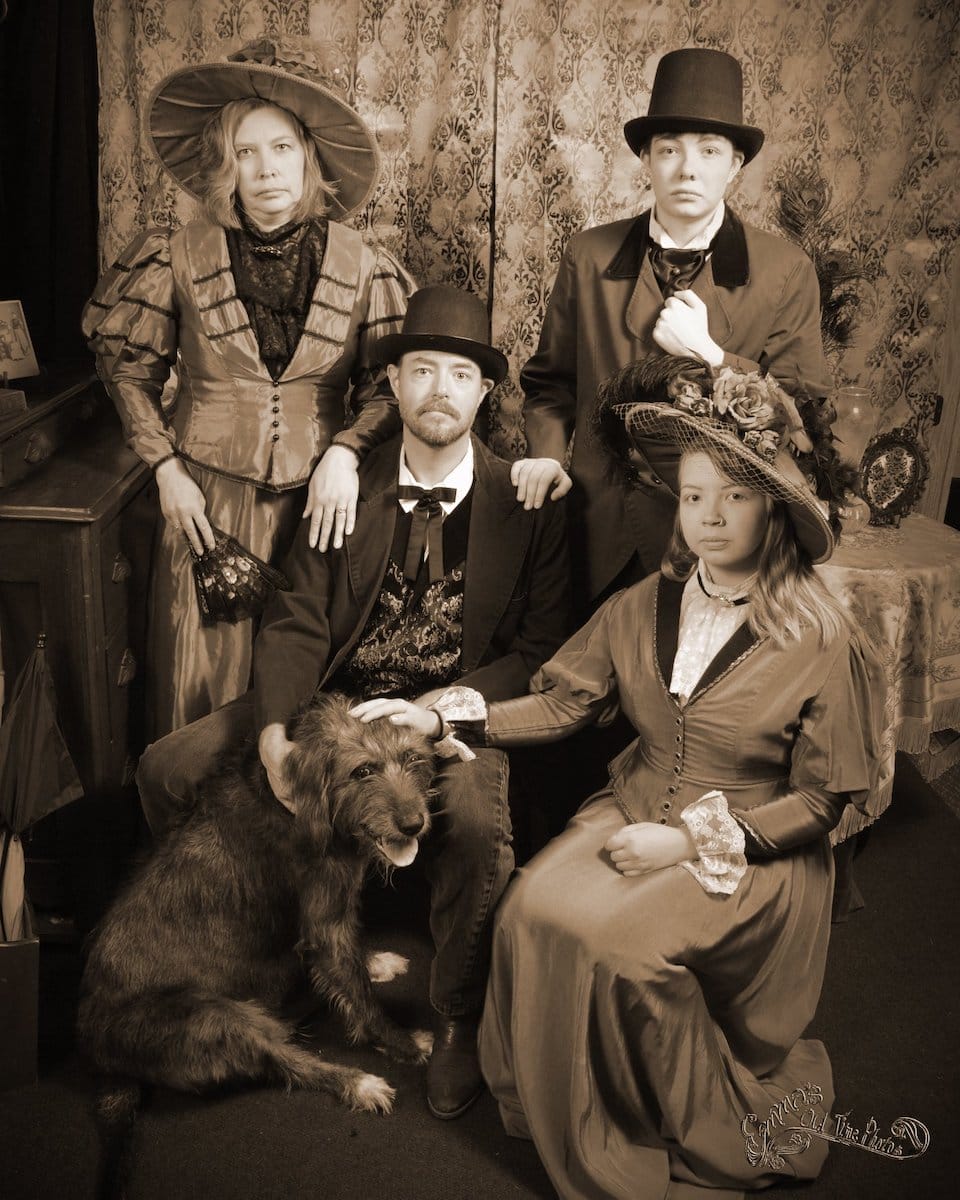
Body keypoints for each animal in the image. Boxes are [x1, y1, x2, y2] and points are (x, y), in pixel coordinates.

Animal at [78, 691, 434, 1128]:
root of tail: (98, 1055)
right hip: (213, 1018)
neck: (305, 801)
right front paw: (401, 1041)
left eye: (413, 759)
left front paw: (373, 961)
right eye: (363, 770)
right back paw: (356, 1082)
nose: (414, 824)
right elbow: (359, 994)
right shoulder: (325, 920)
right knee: (286, 1063)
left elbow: (353, 962)